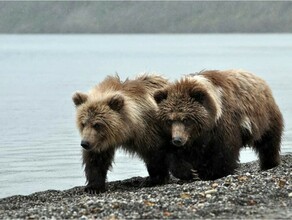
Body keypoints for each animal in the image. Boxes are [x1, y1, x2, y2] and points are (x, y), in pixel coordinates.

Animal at [154, 69, 284, 180]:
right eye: (169, 120)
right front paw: (190, 172)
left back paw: (269, 163)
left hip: (265, 117)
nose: (177, 140)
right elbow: (173, 154)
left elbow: (224, 150)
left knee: (269, 142)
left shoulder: (223, 126)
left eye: (186, 119)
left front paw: (214, 173)